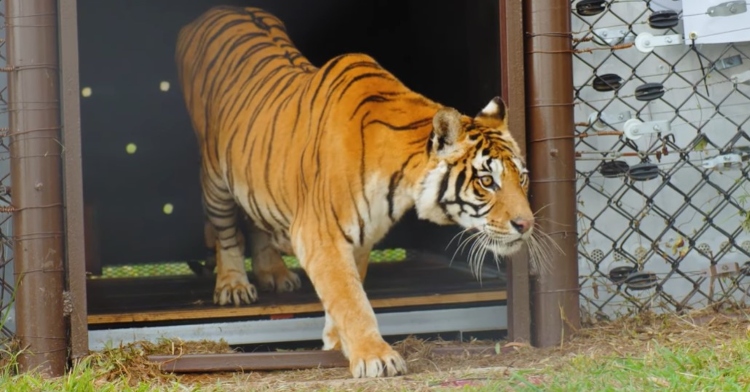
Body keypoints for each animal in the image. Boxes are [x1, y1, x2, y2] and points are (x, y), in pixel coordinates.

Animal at [177, 6, 536, 378]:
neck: (401, 180)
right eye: (487, 181)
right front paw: (375, 356)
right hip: (214, 177)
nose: (526, 225)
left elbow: (349, 289)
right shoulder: (320, 233)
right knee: (225, 230)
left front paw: (338, 341)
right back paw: (233, 285)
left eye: (522, 178)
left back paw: (273, 273)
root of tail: (218, 9)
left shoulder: (363, 235)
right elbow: (350, 297)